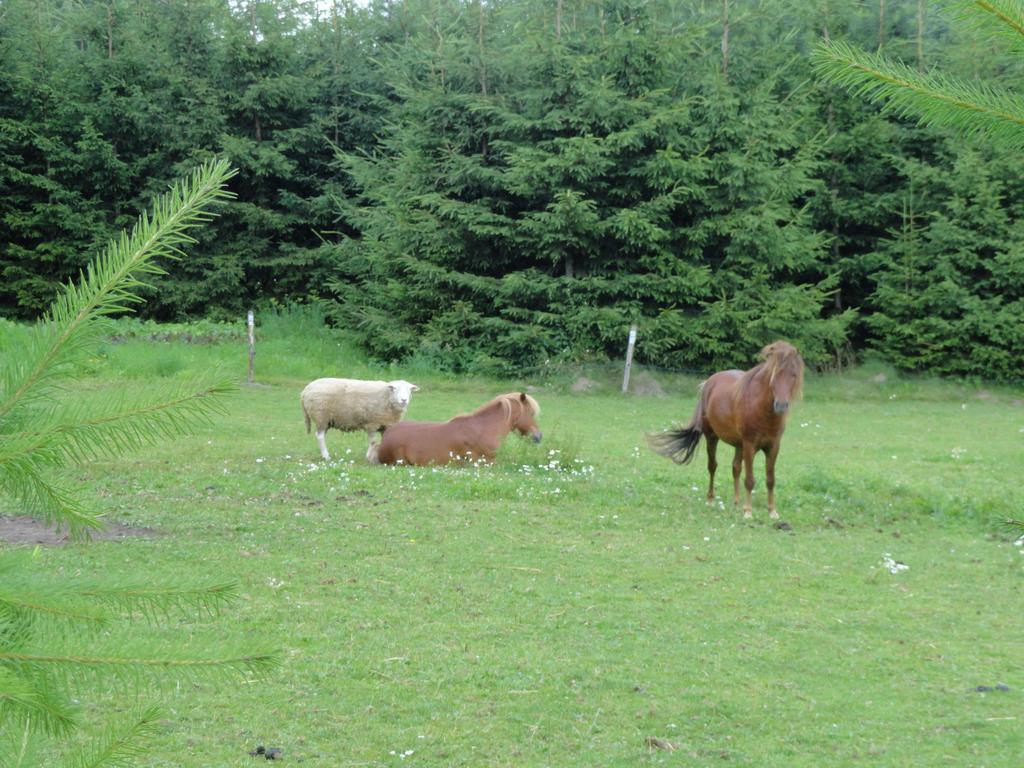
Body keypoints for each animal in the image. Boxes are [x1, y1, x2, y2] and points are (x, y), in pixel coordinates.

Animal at [647, 346, 806, 520]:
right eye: (774, 374)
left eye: (794, 375)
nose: (781, 405)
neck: (762, 410)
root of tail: (708, 383)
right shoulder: (749, 445)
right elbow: (749, 480)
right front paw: (748, 511)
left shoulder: (773, 447)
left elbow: (770, 480)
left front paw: (772, 511)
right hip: (712, 437)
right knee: (712, 466)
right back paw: (710, 499)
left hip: (739, 445)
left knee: (735, 468)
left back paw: (736, 501)